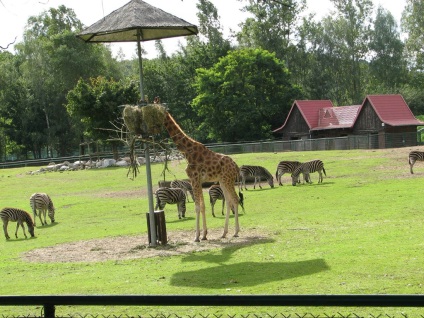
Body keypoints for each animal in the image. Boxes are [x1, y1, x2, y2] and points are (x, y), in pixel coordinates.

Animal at [122, 104, 242, 241]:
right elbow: (202, 206)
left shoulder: (194, 179)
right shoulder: (198, 181)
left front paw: (197, 236)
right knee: (229, 201)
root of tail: (236, 166)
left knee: (235, 199)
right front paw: (204, 234)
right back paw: (224, 233)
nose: (149, 127)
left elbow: (197, 206)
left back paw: (236, 232)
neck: (188, 151)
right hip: (222, 180)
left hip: (228, 180)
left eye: (154, 111)